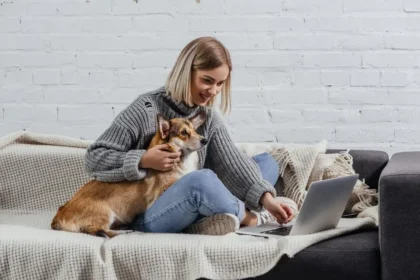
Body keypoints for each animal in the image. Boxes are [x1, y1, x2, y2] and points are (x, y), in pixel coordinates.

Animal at [51, 110, 208, 237]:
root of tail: (59, 214)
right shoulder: (161, 191)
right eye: (184, 133)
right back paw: (124, 231)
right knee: (100, 231)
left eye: (195, 130)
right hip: (105, 214)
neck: (182, 160)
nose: (205, 140)